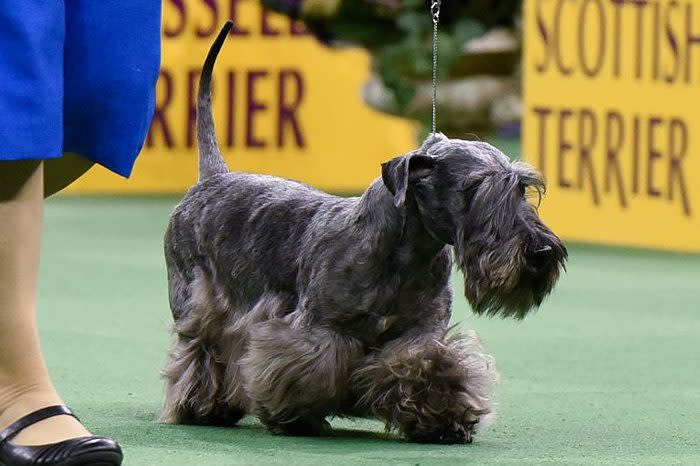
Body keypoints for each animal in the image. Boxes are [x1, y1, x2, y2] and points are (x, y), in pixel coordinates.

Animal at [161, 22, 568, 444]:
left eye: (522, 189)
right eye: (474, 189)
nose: (540, 252)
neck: (405, 256)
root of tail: (213, 177)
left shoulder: (419, 335)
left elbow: (428, 367)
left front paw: (443, 418)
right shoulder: (317, 330)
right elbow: (303, 368)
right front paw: (294, 416)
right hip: (198, 304)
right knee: (199, 349)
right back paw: (204, 407)